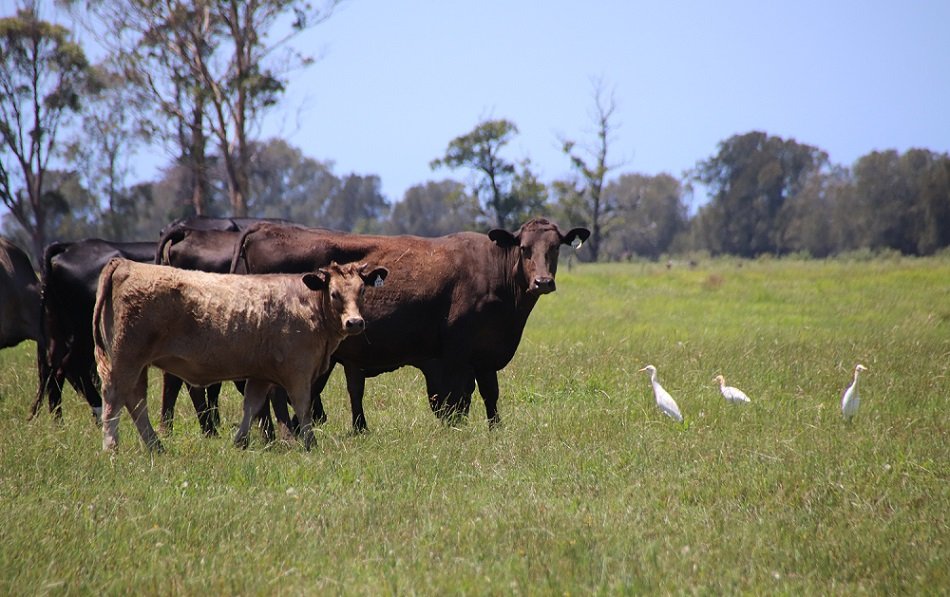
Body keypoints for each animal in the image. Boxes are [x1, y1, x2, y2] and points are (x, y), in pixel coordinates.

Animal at [32, 240, 156, 421]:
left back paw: (60, 423)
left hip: (59, 331)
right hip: (85, 335)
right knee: (72, 367)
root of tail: (68, 247)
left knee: (57, 373)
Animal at [93, 258, 388, 451]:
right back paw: (112, 447)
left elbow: (252, 405)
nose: (355, 322)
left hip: (136, 364)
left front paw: (240, 441)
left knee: (136, 401)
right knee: (115, 399)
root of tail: (125, 263)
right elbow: (303, 406)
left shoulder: (261, 374)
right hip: (126, 360)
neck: (307, 304)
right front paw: (310, 442)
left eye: (362, 290)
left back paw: (156, 446)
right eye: (335, 293)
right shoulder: (298, 372)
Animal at [230, 217, 590, 432]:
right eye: (525, 249)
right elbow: (457, 402)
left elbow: (491, 395)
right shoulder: (453, 357)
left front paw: (495, 431)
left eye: (555, 248)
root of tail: (263, 226)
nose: (542, 282)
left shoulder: (485, 355)